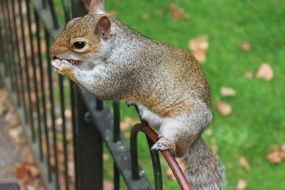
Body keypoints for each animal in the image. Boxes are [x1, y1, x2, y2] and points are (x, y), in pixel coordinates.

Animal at [49, 0, 224, 189]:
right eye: (69, 23)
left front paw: (65, 67)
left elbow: (102, 87)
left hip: (182, 124)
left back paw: (167, 143)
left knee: (179, 151)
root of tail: (195, 137)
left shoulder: (125, 70)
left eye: (79, 44)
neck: (118, 46)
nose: (52, 51)